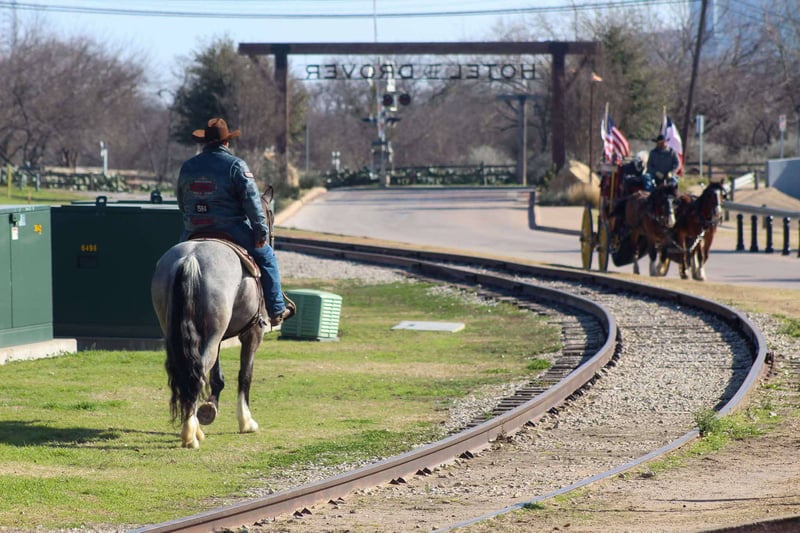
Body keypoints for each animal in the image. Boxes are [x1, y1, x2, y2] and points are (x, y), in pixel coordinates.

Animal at [150, 187, 275, 449]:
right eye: (269, 215)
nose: (266, 237)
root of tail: (190, 259)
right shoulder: (252, 333)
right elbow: (245, 375)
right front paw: (246, 422)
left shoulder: (218, 336)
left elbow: (217, 375)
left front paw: (210, 407)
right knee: (197, 373)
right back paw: (191, 433)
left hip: (181, 332)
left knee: (188, 371)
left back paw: (193, 426)